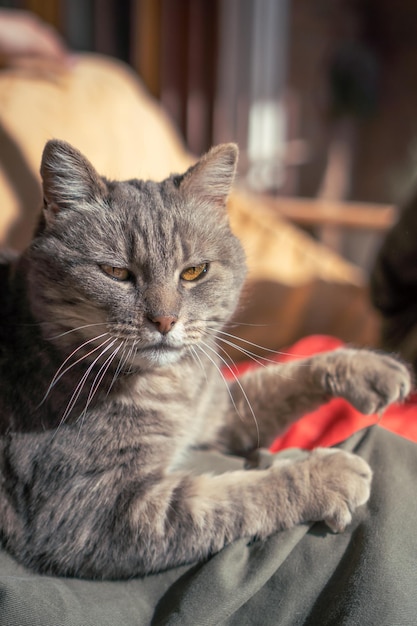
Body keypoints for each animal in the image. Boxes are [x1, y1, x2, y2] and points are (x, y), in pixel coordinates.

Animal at [0, 139, 412, 576]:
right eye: (116, 272)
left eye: (194, 272)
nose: (164, 320)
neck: (172, 385)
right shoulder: (85, 511)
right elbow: (235, 497)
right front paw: (326, 474)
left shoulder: (220, 416)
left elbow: (281, 378)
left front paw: (369, 368)